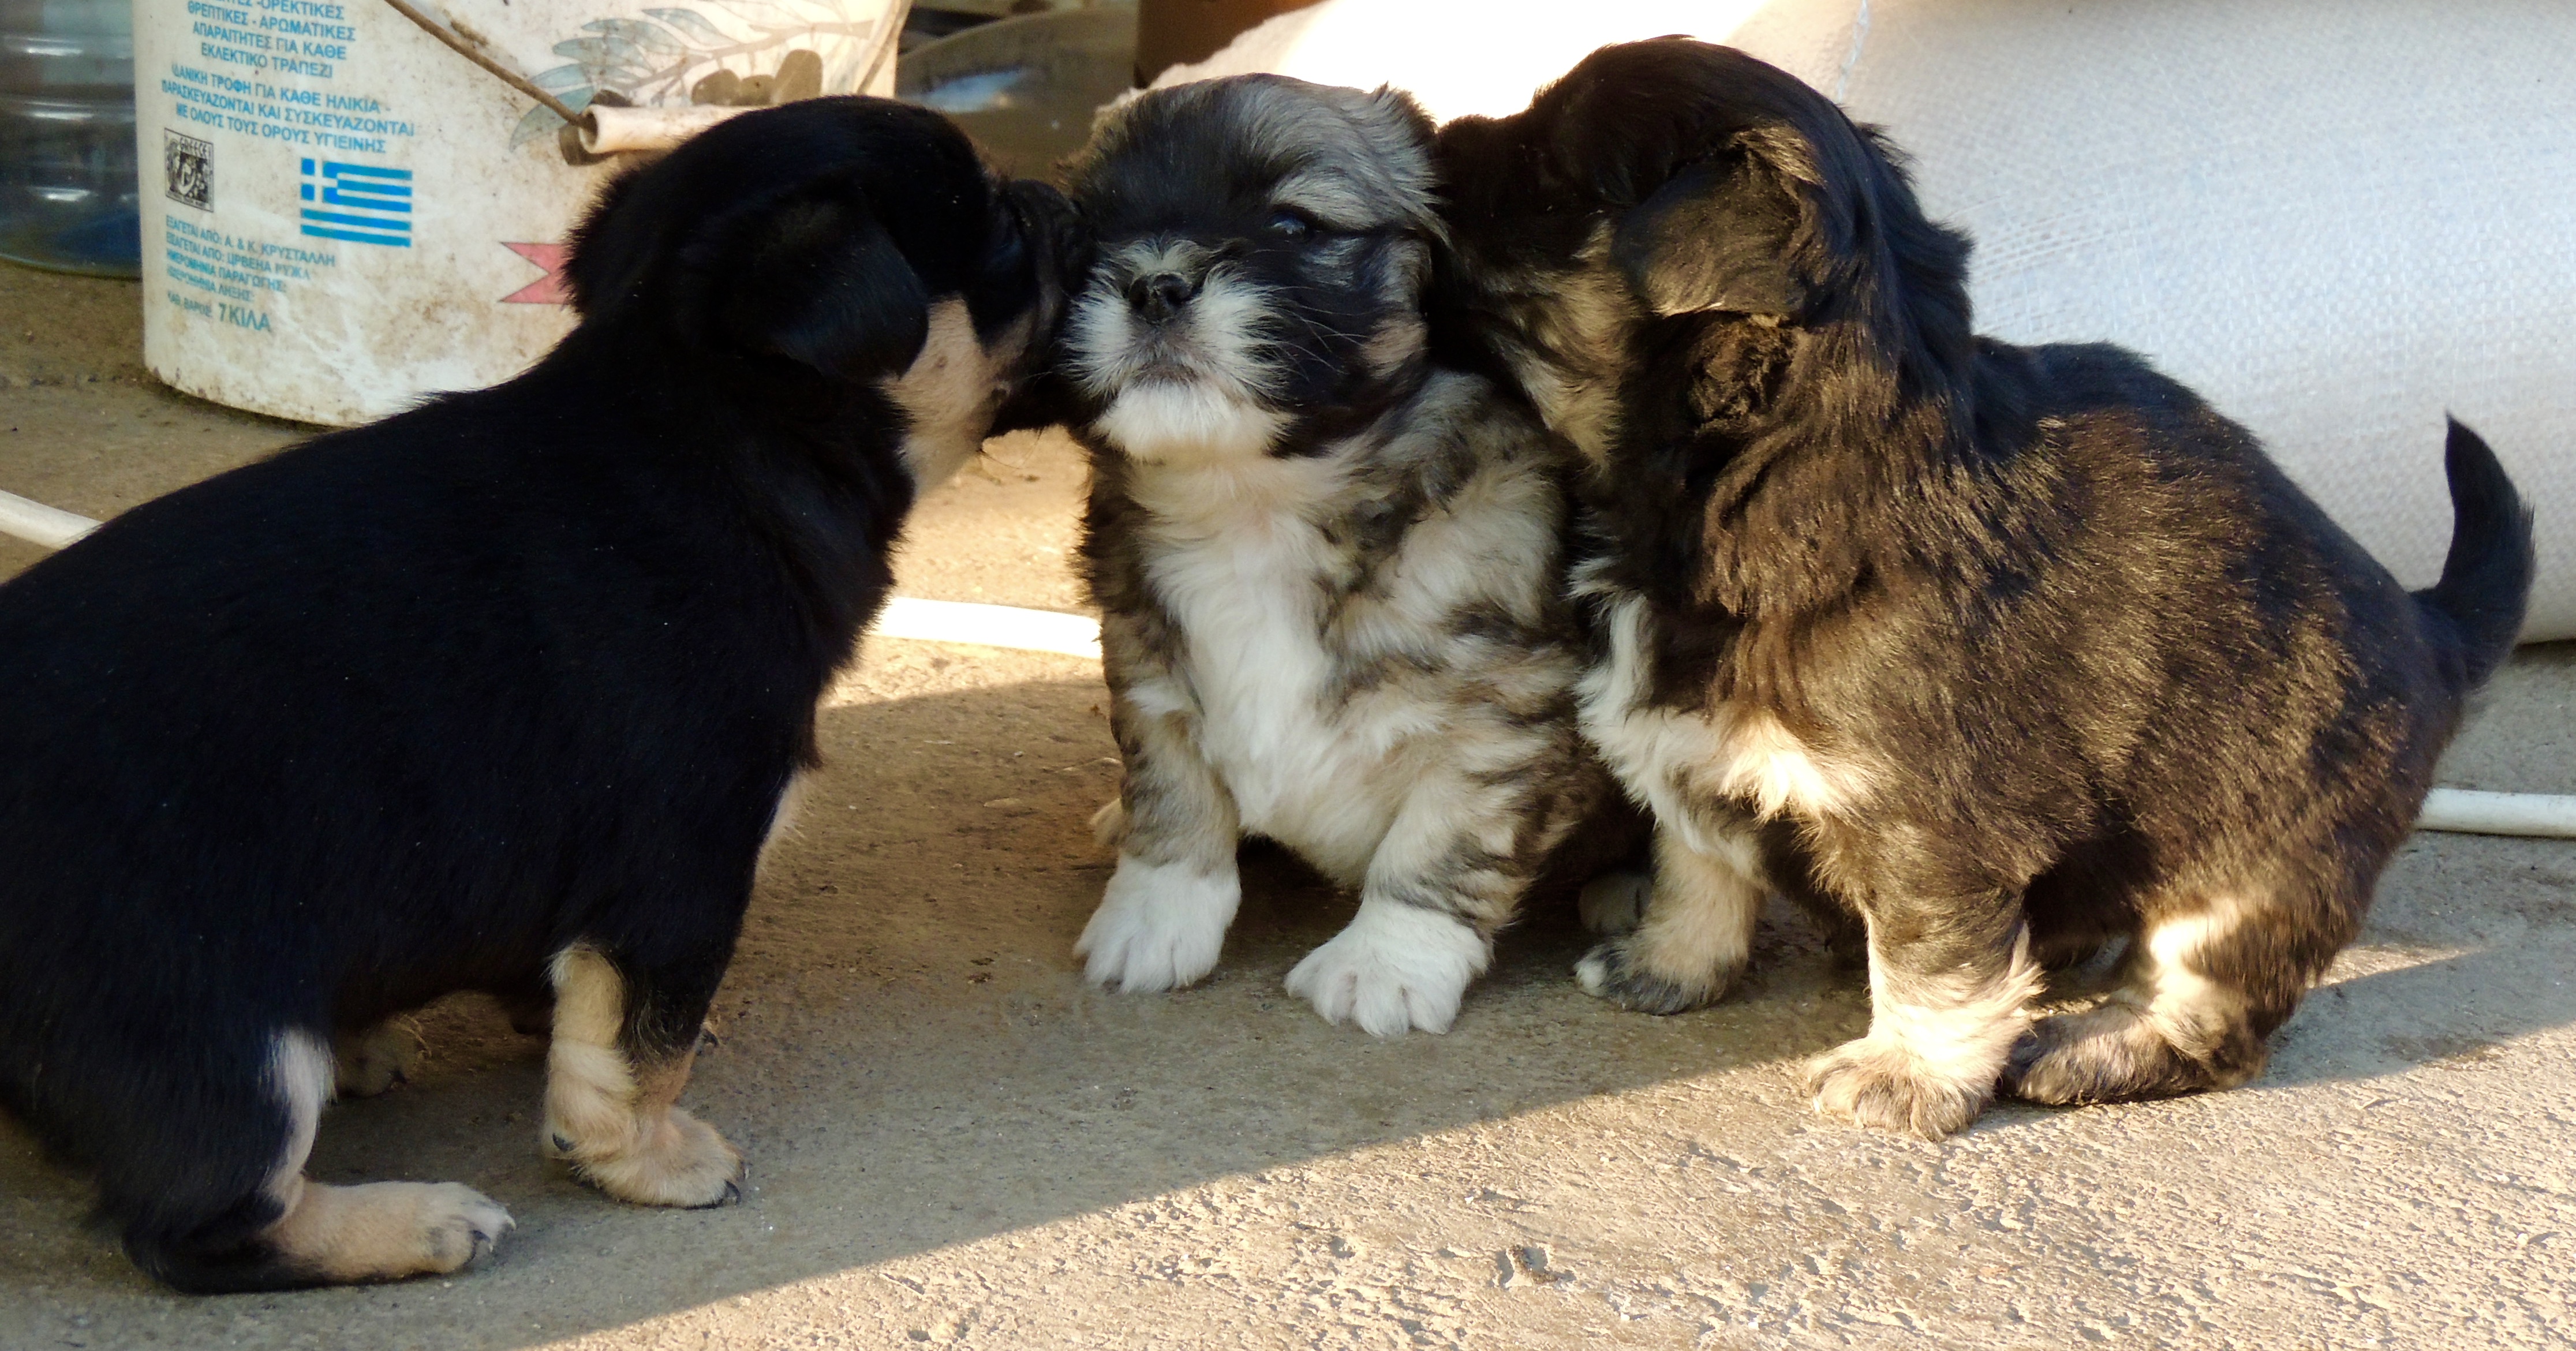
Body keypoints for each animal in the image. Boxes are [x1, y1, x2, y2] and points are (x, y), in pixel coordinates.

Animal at [0, 97, 1083, 1290]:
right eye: (1000, 234)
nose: (1064, 200)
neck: (709, 439)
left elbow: (577, 1000)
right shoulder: (684, 870)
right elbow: (637, 1051)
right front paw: (648, 1159)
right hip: (222, 1037)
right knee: (202, 1223)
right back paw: (416, 1221)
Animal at [1060, 74, 1642, 1036]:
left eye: (1293, 225)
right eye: (1084, 236)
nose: (1151, 283)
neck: (1258, 503)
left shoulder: (1503, 720)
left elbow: (1443, 841)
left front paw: (1384, 965)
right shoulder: (1146, 671)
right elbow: (1172, 797)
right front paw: (1149, 917)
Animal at [1431, 39, 2535, 1136]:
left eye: (1537, 173)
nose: (1441, 132)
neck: (1776, 468)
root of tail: (2431, 627)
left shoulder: (1931, 820)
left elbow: (1932, 957)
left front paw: (1903, 1075)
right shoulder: (1688, 739)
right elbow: (1695, 858)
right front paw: (1667, 963)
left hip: (2264, 858)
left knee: (2209, 1007)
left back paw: (2089, 1048)